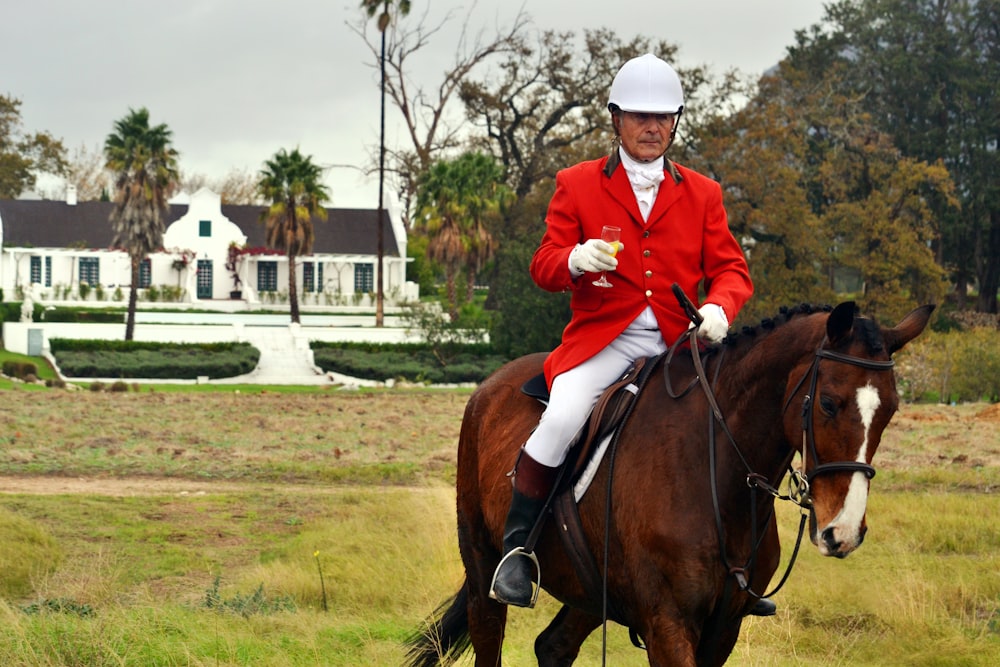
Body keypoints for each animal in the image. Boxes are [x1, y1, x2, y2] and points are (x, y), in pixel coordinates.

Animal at [402, 302, 932, 667]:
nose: (842, 531)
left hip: (591, 586)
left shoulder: (722, 629)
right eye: (827, 403)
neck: (716, 475)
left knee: (552, 646)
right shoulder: (668, 624)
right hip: (482, 569)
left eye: (892, 409)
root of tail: (491, 386)